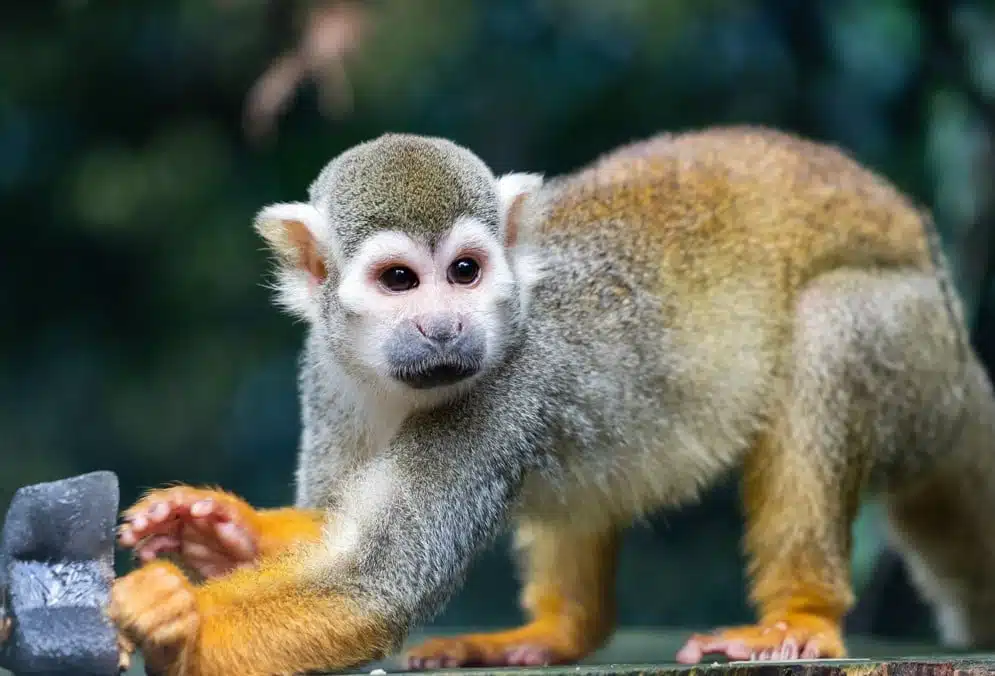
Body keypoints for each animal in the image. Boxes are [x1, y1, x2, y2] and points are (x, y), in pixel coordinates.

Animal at [109, 128, 995, 676]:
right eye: (399, 281)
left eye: (465, 272)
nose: (444, 326)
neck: (392, 382)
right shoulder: (323, 371)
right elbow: (335, 530)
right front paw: (218, 532)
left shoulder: (508, 385)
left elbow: (376, 578)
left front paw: (176, 623)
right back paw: (556, 632)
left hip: (911, 341)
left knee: (831, 323)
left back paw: (801, 616)